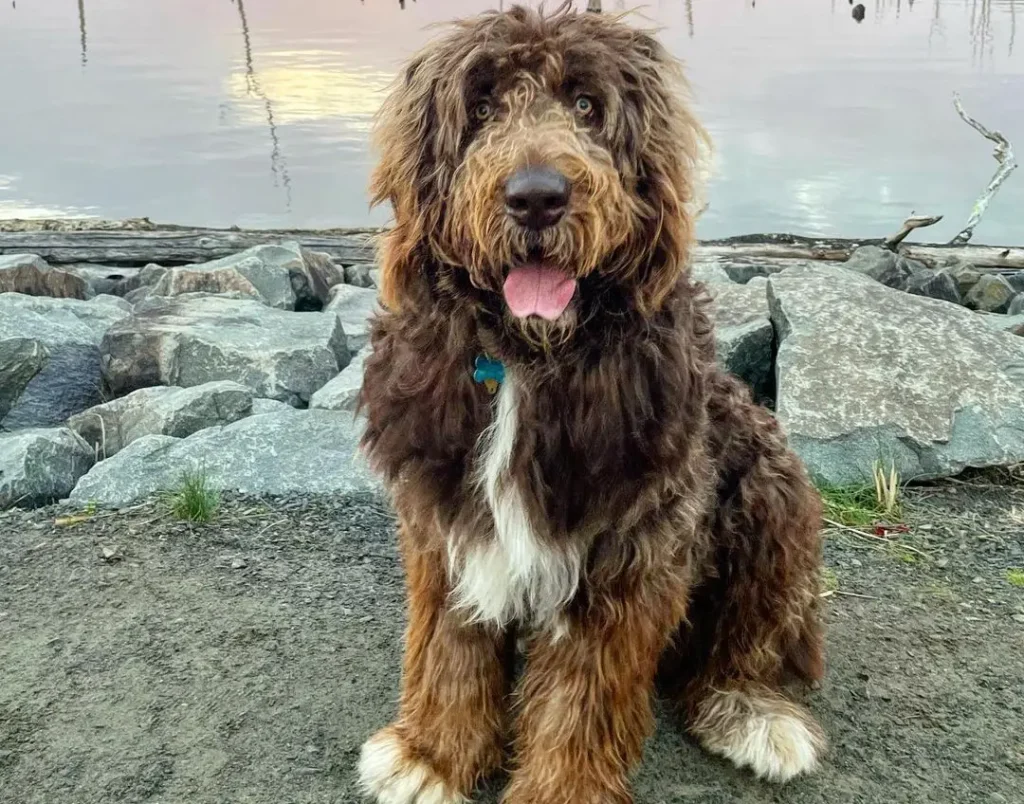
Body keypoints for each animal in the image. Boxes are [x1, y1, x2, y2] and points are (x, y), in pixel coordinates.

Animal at [356, 3, 827, 798]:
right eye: (482, 107)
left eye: (585, 105)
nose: (537, 196)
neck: (528, 356)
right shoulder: (446, 518)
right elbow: (450, 642)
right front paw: (434, 754)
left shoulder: (634, 538)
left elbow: (584, 688)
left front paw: (560, 786)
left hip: (772, 489)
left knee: (751, 637)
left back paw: (751, 710)